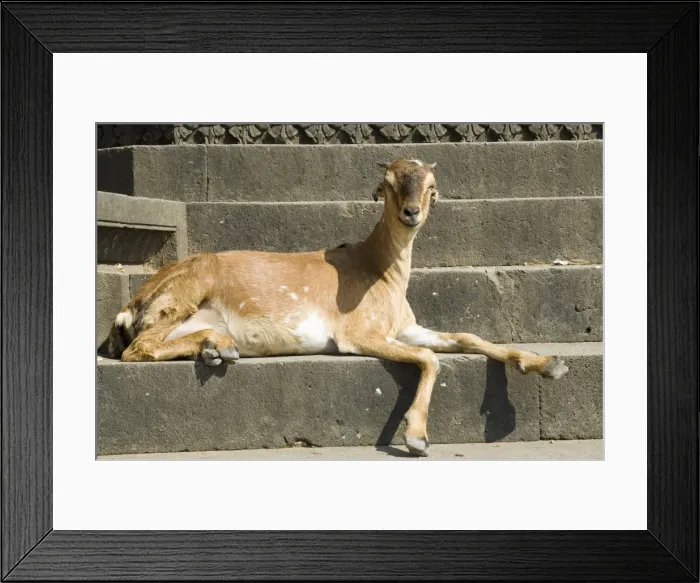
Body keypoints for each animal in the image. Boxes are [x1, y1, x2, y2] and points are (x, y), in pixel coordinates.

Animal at [98, 159, 569, 456]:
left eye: (431, 188)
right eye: (391, 184)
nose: (412, 212)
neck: (378, 273)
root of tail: (129, 308)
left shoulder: (405, 327)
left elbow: (465, 337)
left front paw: (549, 364)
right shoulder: (357, 333)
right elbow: (429, 358)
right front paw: (417, 437)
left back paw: (218, 347)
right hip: (183, 294)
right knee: (138, 348)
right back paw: (219, 345)